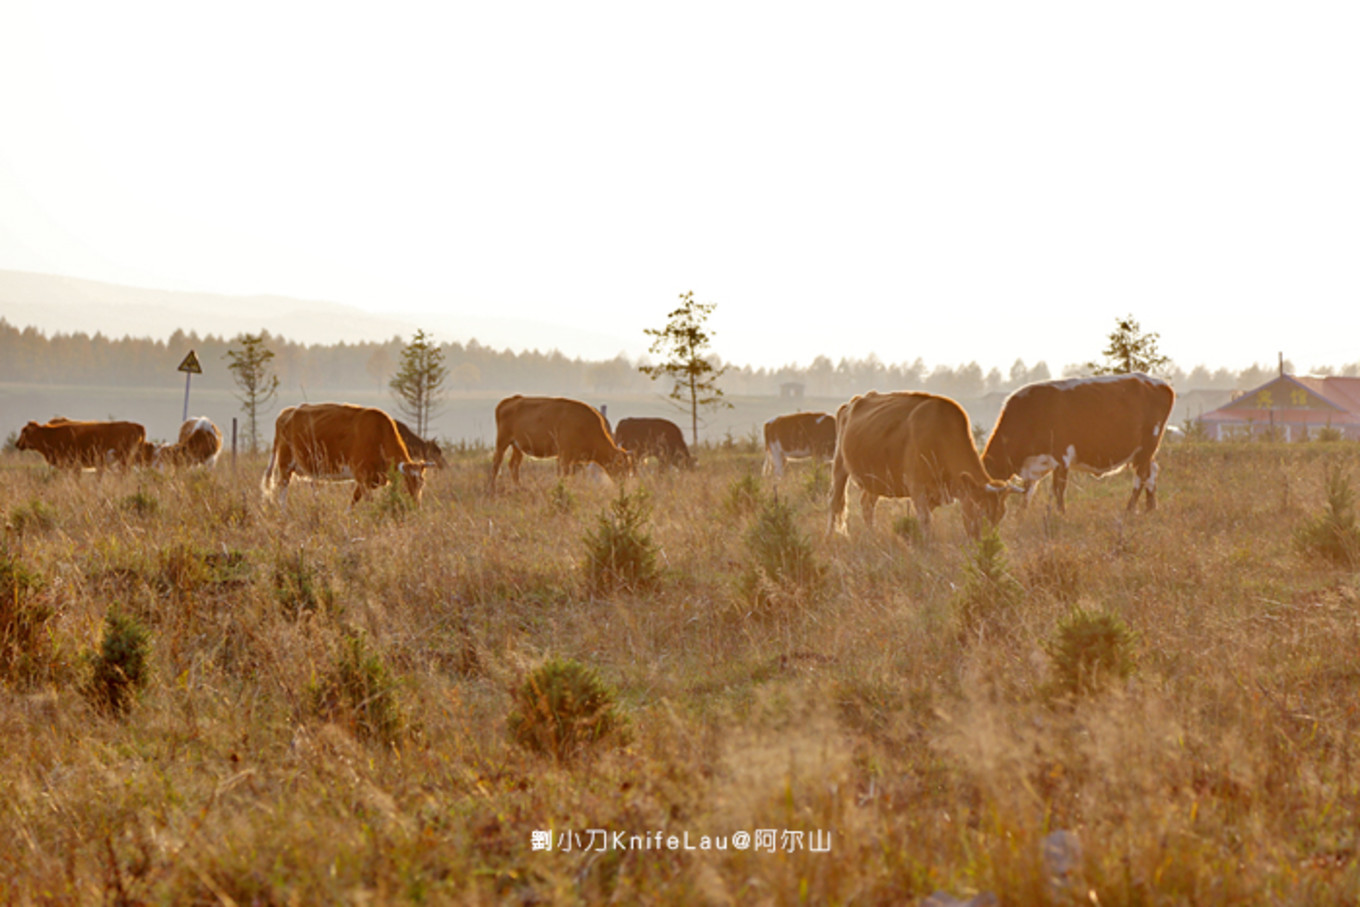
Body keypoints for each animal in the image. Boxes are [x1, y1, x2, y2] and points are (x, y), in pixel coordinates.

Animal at [259, 402, 429, 508]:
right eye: (405, 486)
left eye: (421, 484)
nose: (416, 507)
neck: (379, 435)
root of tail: (287, 412)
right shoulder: (361, 475)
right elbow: (367, 502)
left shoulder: (365, 479)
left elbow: (353, 501)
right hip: (285, 465)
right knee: (282, 491)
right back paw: (284, 514)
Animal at [492, 394, 633, 492]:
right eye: (621, 466)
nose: (624, 485)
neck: (586, 426)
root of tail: (510, 400)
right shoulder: (565, 457)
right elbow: (564, 475)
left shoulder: (574, 460)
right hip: (502, 442)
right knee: (497, 462)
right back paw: (492, 487)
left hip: (517, 447)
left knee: (513, 465)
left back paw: (518, 487)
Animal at [826, 394, 1022, 543]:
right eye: (982, 510)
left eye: (1001, 515)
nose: (985, 542)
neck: (941, 435)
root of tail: (853, 402)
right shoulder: (917, 488)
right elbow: (925, 520)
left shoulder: (933, 495)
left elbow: (924, 520)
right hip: (839, 465)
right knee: (835, 503)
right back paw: (830, 537)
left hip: (876, 480)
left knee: (867, 505)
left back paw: (872, 536)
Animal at [979, 372, 1180, 514]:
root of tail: (1159, 383)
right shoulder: (1033, 465)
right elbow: (1028, 493)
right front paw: (1022, 515)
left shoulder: (1062, 458)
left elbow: (1059, 489)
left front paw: (1060, 515)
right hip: (1144, 452)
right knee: (1152, 472)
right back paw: (1150, 509)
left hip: (1148, 446)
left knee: (1141, 477)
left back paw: (1130, 510)